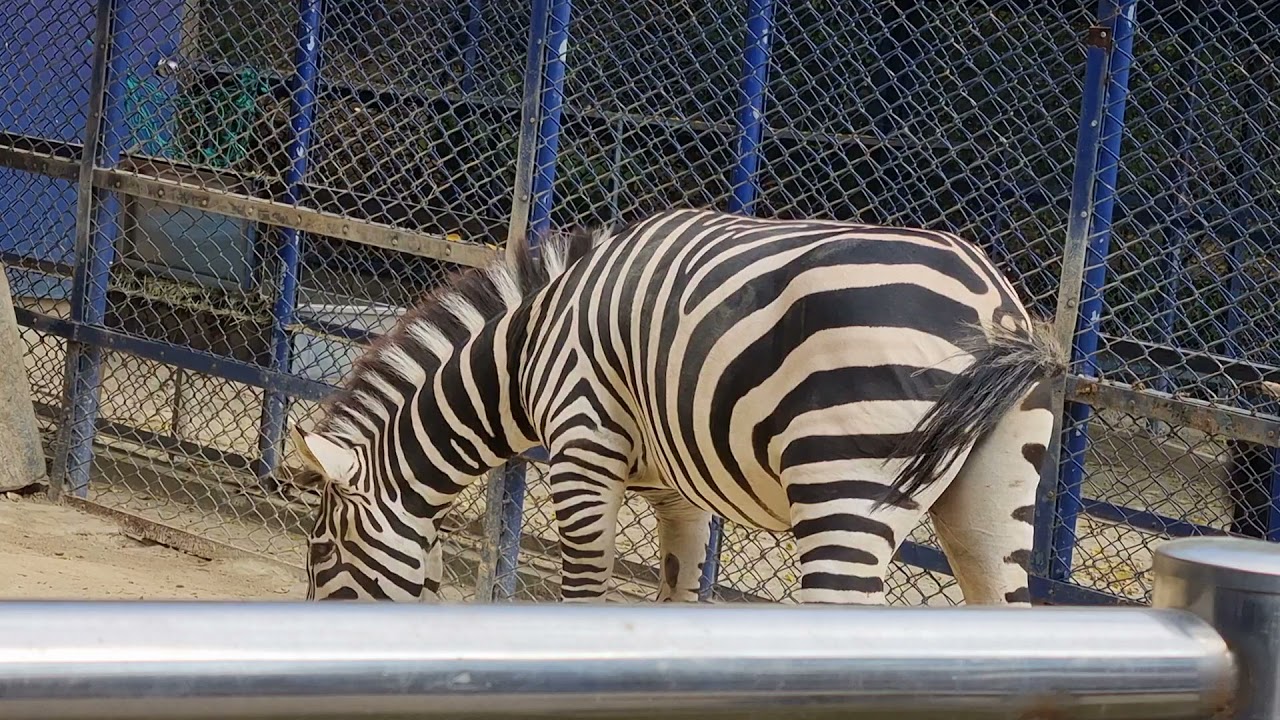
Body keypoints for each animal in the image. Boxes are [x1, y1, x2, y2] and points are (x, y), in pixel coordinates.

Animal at [291, 207, 1065, 605]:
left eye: (320, 552)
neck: (526, 352)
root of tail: (990, 302)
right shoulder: (677, 489)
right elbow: (677, 595)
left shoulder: (581, 450)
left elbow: (585, 595)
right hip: (993, 493)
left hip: (843, 482)